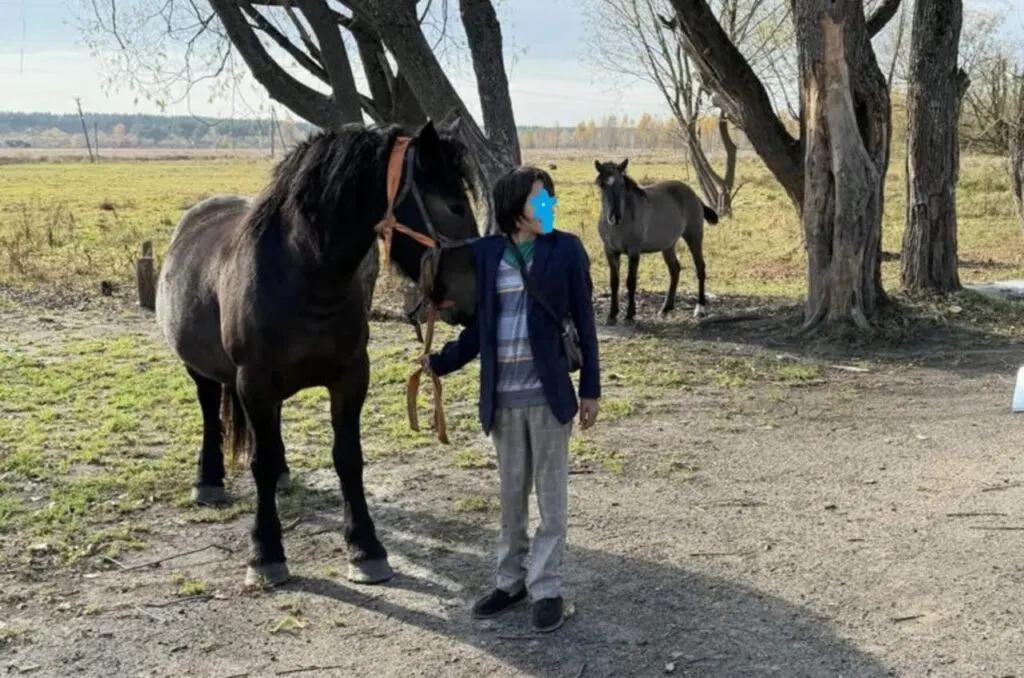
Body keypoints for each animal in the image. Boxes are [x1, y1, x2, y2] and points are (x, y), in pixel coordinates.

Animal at [154, 120, 480, 588]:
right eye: (453, 204)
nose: (472, 298)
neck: (303, 277)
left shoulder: (350, 377)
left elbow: (347, 458)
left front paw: (365, 547)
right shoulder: (253, 383)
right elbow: (260, 463)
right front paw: (265, 553)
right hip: (203, 371)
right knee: (210, 410)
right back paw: (208, 481)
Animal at [593, 159, 719, 323]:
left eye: (621, 184)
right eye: (601, 184)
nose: (615, 217)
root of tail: (693, 195)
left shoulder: (634, 251)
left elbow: (630, 281)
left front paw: (630, 313)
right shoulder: (610, 251)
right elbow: (614, 282)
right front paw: (612, 314)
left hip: (694, 236)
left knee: (700, 268)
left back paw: (700, 308)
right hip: (668, 245)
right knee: (675, 270)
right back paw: (666, 308)